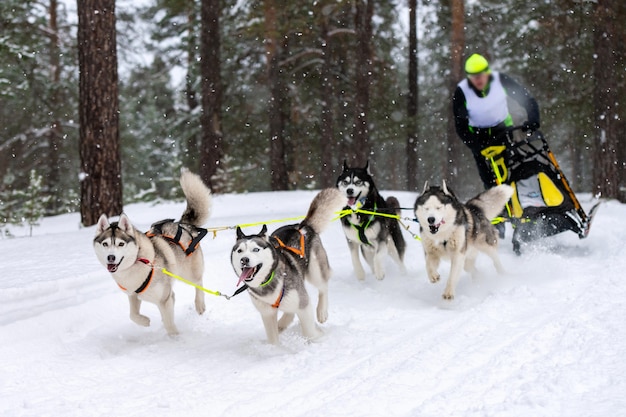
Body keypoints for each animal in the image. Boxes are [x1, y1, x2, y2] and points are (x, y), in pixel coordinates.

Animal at [92, 169, 210, 334]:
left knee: (199, 283)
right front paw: (145, 321)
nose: (111, 257)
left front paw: (176, 338)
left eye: (121, 244)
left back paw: (199, 304)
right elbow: (133, 315)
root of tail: (184, 225)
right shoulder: (134, 295)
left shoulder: (164, 299)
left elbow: (170, 326)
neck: (137, 262)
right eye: (105, 244)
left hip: (188, 274)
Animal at [230, 188, 344, 344]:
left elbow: (309, 331)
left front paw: (318, 337)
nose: (244, 260)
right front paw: (275, 348)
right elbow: (273, 340)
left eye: (256, 249)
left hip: (315, 271)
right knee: (290, 313)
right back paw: (282, 324)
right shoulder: (267, 314)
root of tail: (300, 226)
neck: (268, 280)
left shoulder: (303, 304)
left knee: (323, 286)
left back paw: (321, 311)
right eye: (240, 251)